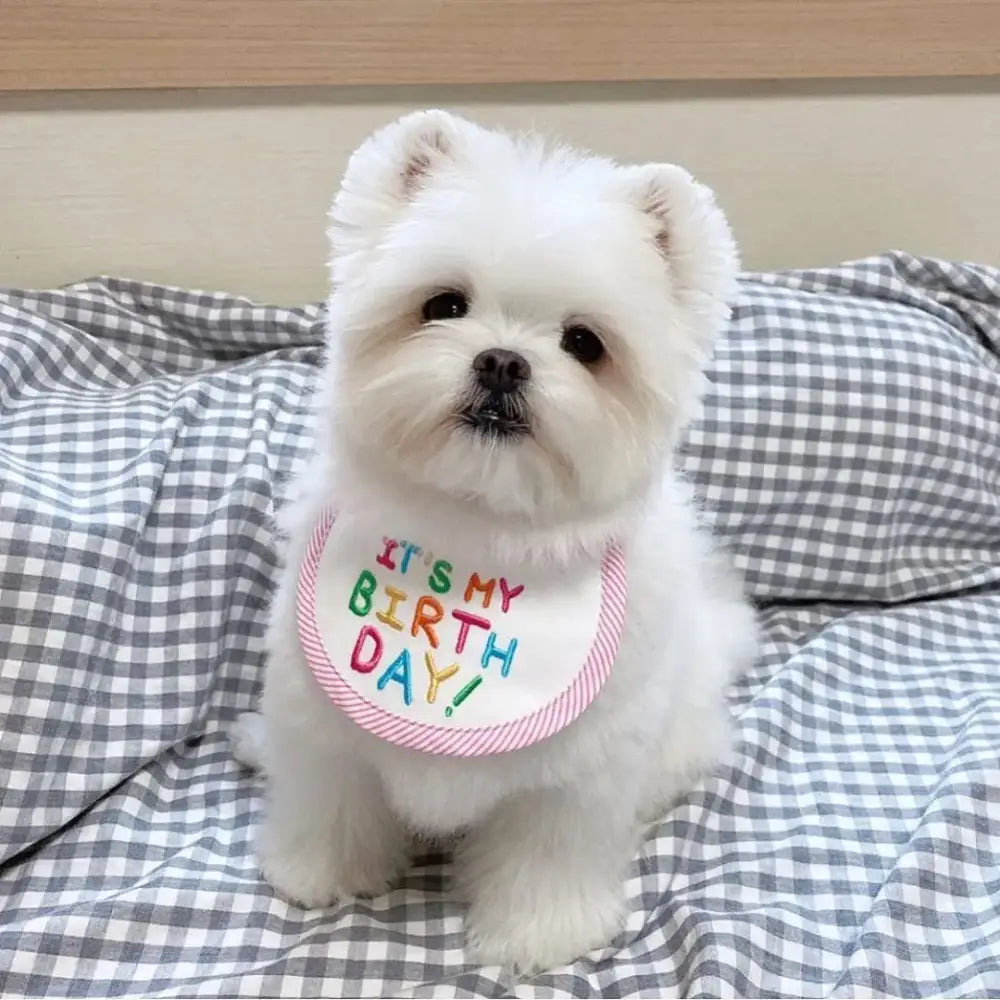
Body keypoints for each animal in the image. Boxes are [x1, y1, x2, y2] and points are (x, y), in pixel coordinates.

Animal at [230, 113, 752, 972]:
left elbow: (547, 856)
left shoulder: (575, 775)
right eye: (443, 303)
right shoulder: (326, 730)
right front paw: (319, 873)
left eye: (585, 343)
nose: (504, 360)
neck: (474, 536)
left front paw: (541, 932)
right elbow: (330, 804)